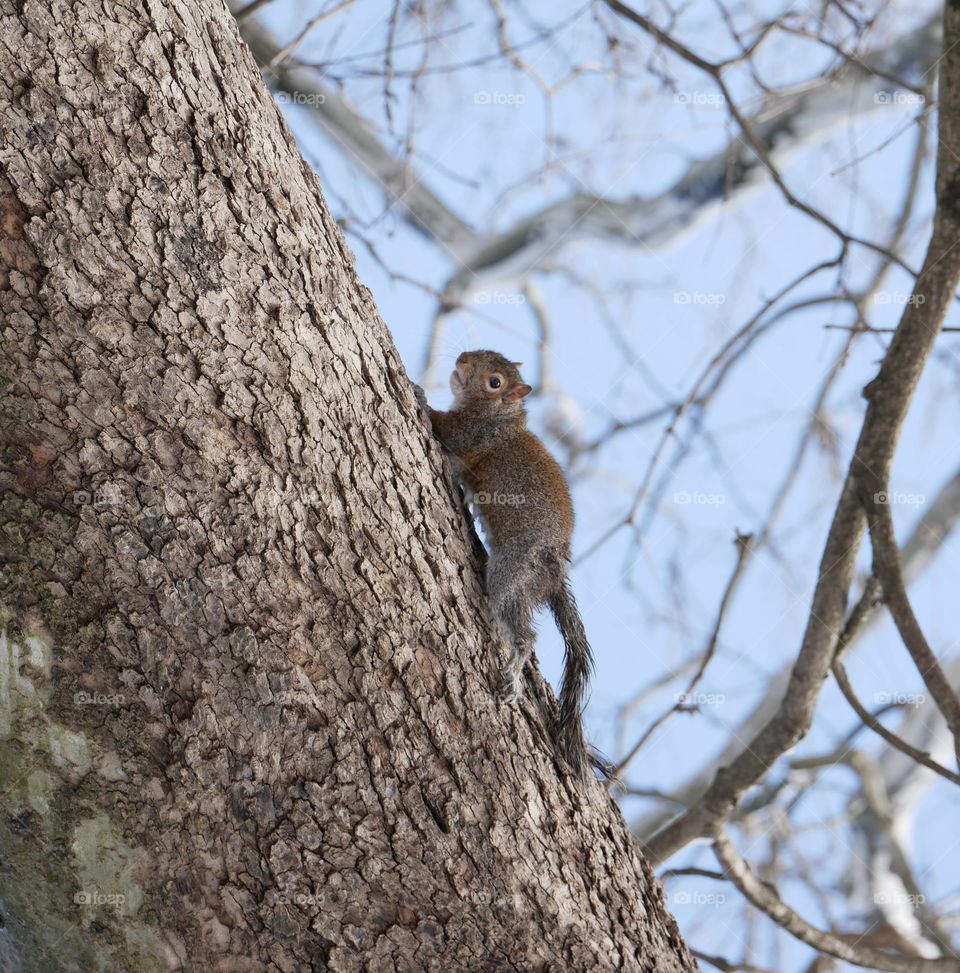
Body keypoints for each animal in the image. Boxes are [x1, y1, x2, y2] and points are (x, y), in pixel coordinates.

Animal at [414, 350, 596, 784]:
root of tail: (554, 571)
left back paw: (513, 674)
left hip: (513, 571)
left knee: (524, 633)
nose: (462, 359)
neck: (503, 418)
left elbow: (443, 426)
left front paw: (417, 392)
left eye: (494, 382)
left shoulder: (472, 435)